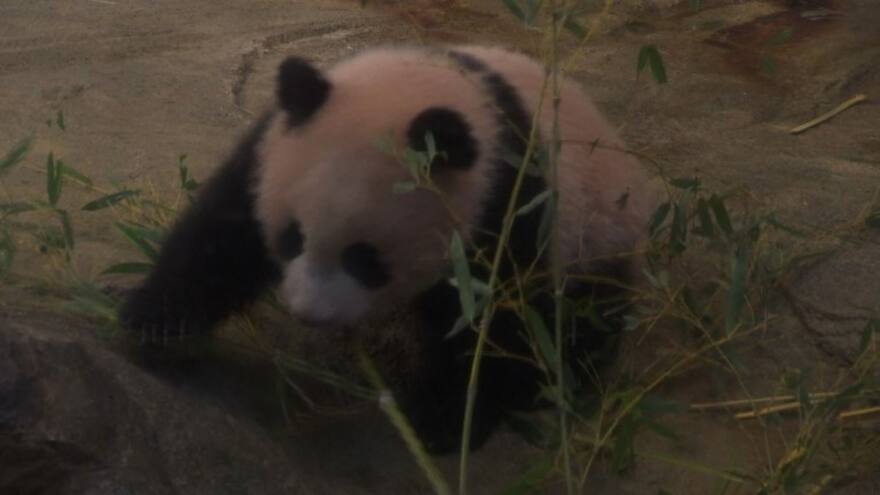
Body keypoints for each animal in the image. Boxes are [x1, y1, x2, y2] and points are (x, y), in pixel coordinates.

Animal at [120, 45, 656, 453]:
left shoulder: (509, 201)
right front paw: (154, 322)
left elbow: (494, 318)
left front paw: (443, 421)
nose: (309, 313)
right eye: (292, 237)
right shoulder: (269, 150)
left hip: (599, 236)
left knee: (587, 314)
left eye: (364, 259)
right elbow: (224, 237)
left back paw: (559, 379)